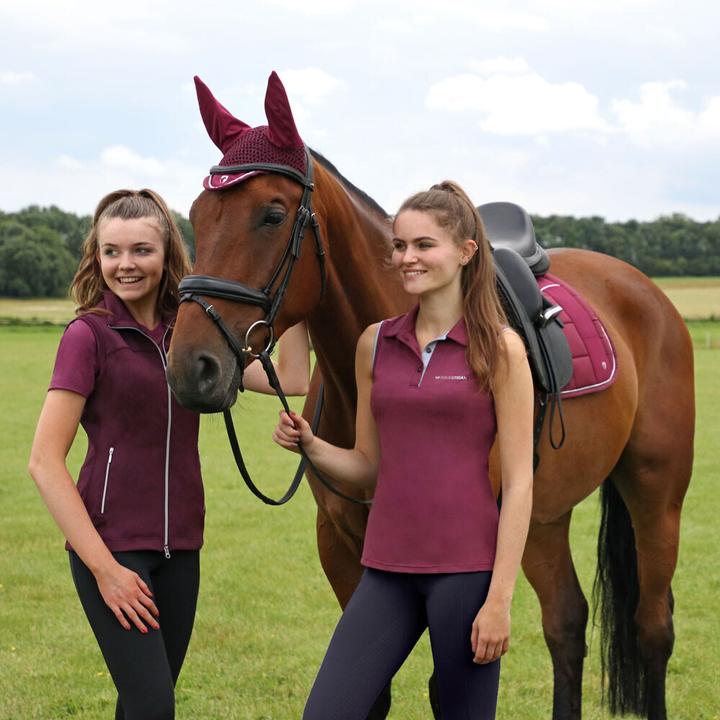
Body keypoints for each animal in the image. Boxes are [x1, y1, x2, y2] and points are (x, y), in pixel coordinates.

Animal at [166, 73, 694, 720]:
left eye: (271, 213)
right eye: (198, 213)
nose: (191, 367)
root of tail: (643, 288)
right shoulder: (340, 545)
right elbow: (370, 689)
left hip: (655, 493)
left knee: (652, 628)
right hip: (542, 516)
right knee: (567, 625)